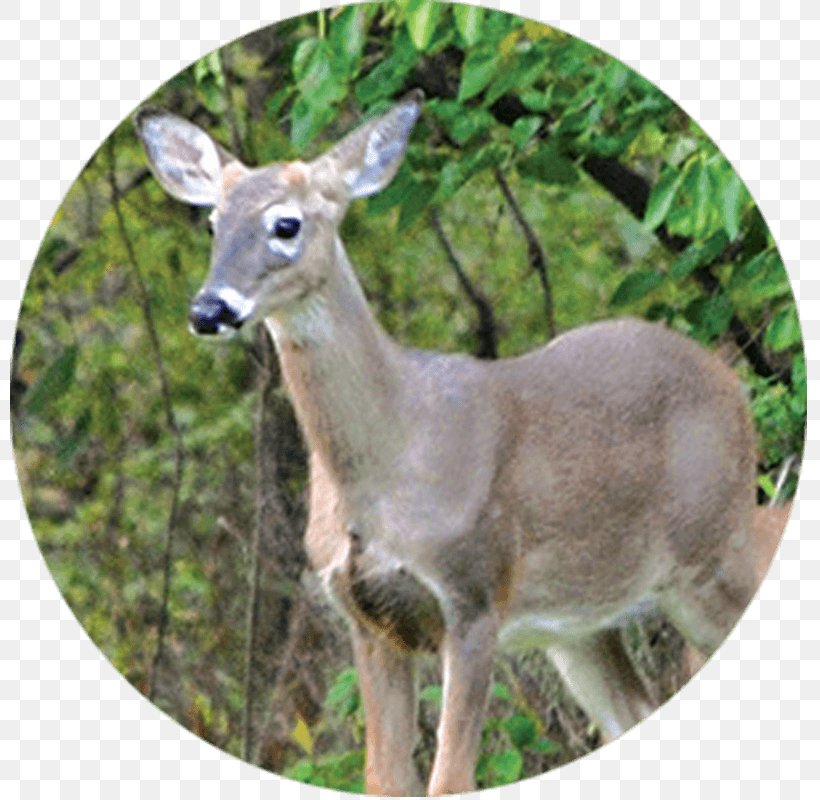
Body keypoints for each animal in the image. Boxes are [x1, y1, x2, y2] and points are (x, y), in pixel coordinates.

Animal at [136, 92, 780, 792]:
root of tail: (731, 382)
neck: (390, 461)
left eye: (287, 224)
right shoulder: (367, 620)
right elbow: (386, 777)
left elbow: (450, 778)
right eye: (212, 223)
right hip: (581, 623)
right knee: (635, 712)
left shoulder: (473, 596)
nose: (209, 311)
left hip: (710, 556)